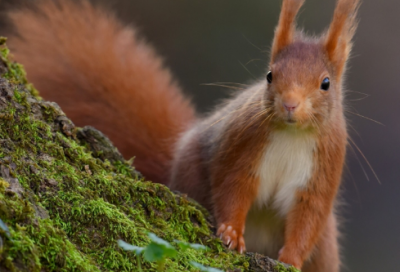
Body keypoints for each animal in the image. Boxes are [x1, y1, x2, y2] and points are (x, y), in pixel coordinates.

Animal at [3, 0, 360, 270]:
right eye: (270, 75)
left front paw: (292, 260)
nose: (289, 104)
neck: (292, 134)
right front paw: (231, 233)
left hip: (326, 247)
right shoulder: (243, 146)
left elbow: (308, 218)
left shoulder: (322, 172)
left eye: (326, 83)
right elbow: (232, 188)